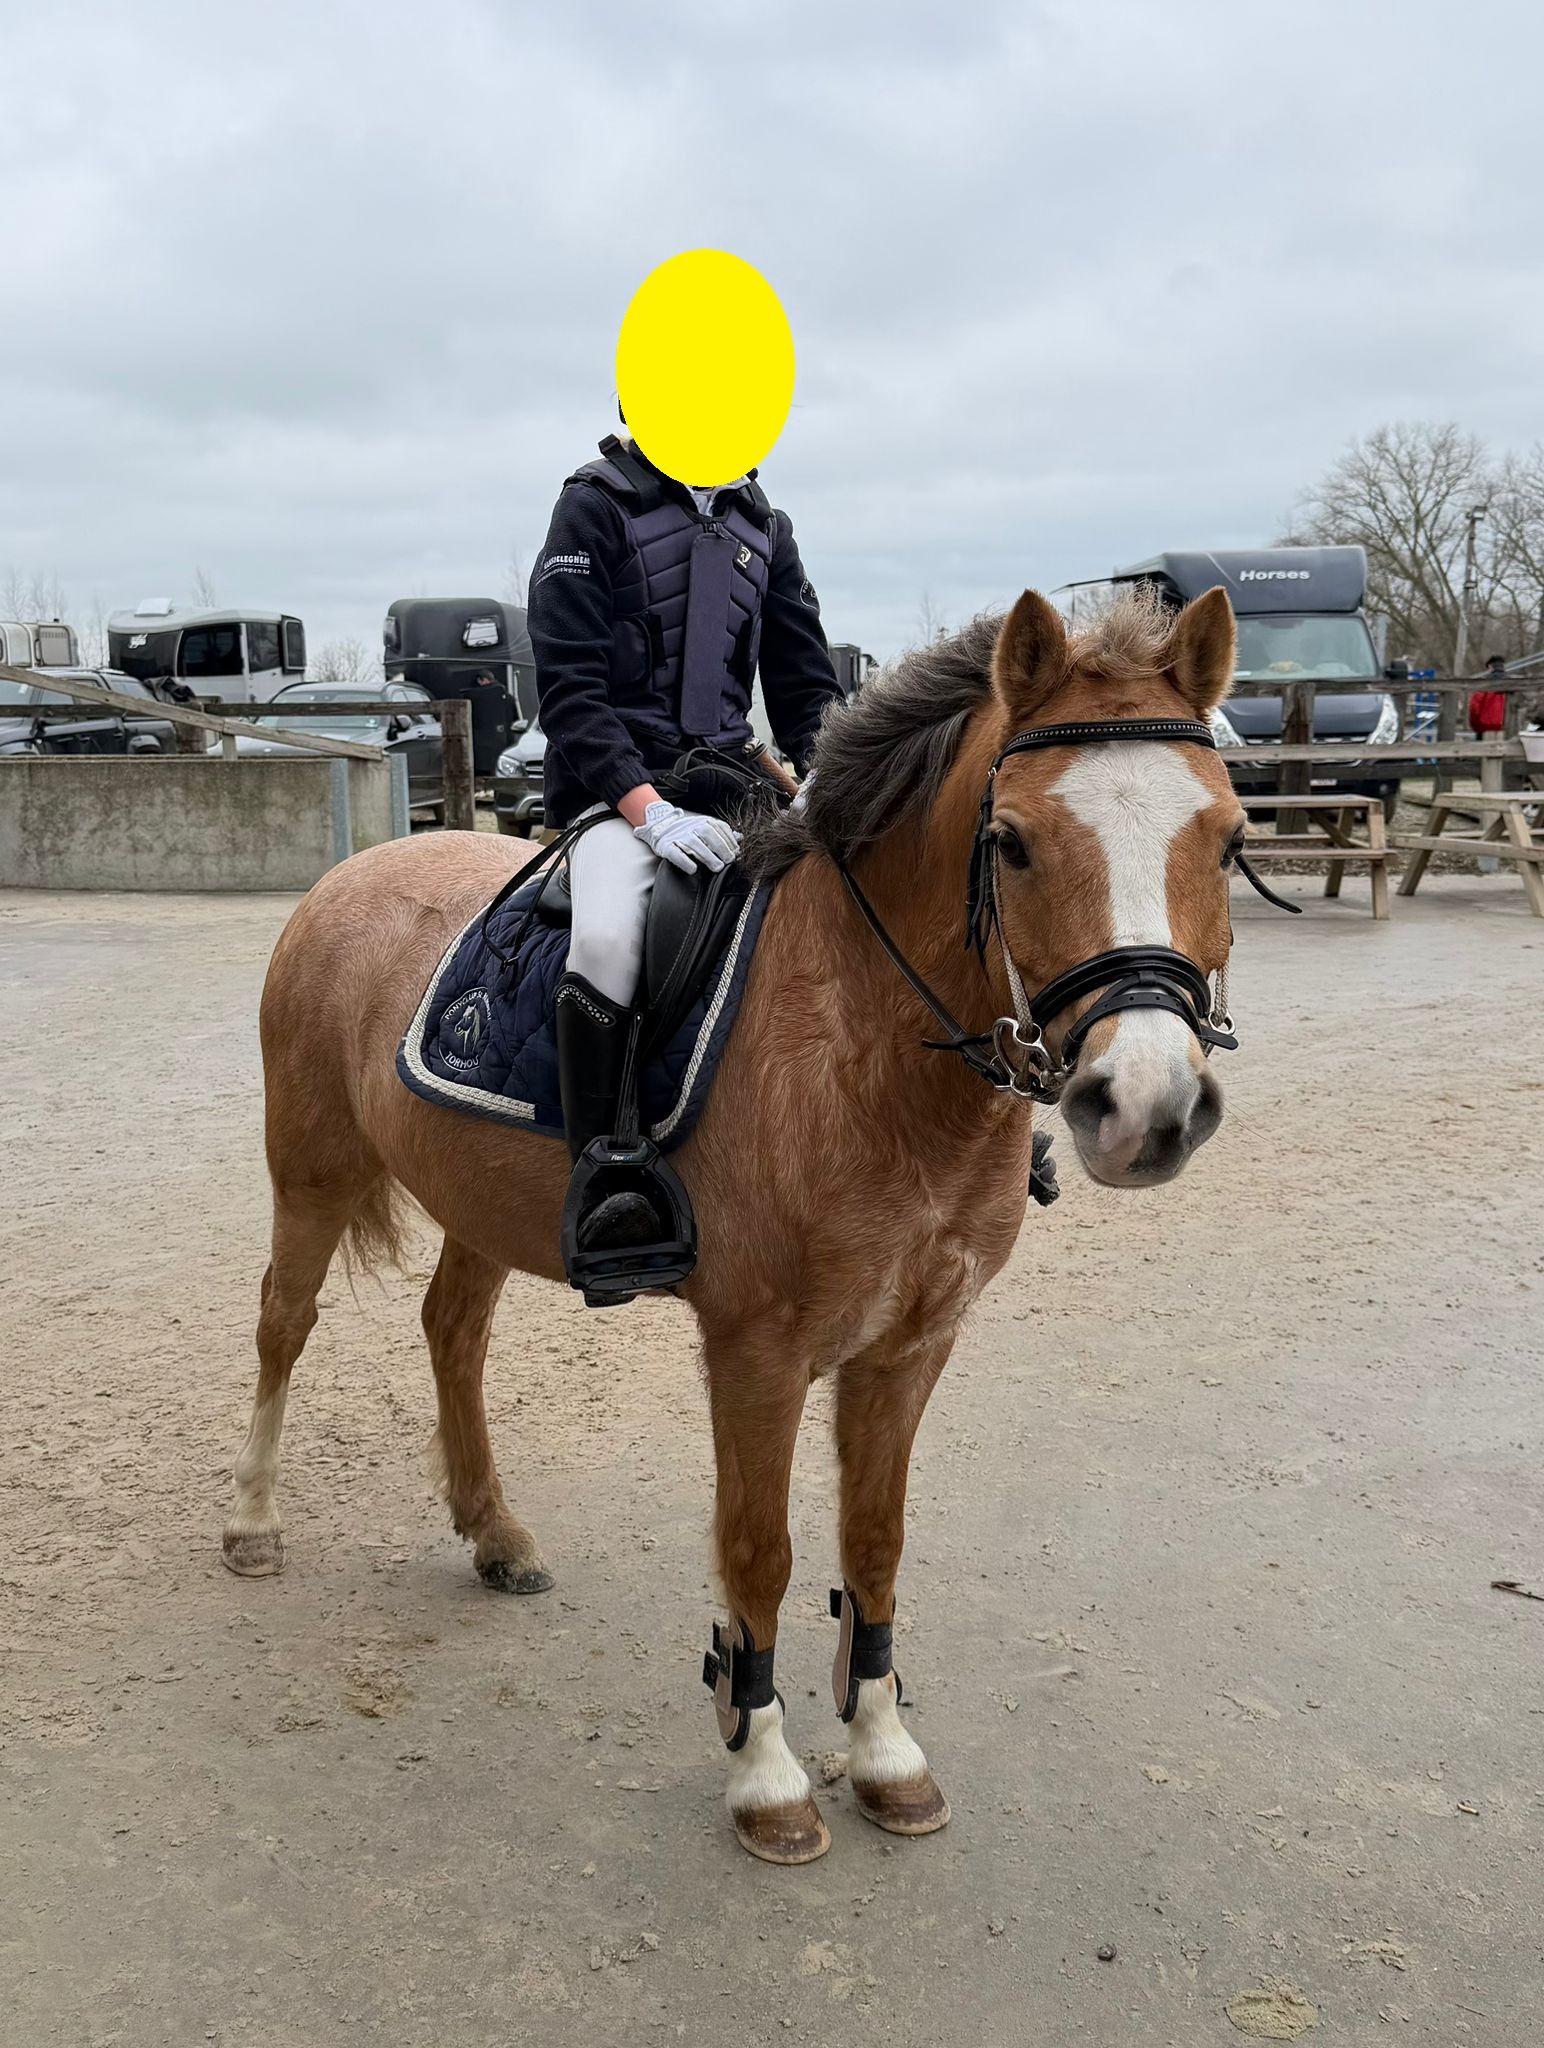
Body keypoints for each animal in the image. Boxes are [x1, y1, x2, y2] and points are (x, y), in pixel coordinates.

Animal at [223, 584, 1249, 1864]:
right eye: (1010, 839)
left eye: (1229, 838)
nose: (1145, 1103)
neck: (865, 1039)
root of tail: (358, 869)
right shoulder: (758, 1348)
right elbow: (760, 1549)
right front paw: (763, 1770)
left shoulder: (908, 1345)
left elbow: (874, 1540)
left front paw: (885, 1751)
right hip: (309, 1170)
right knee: (283, 1322)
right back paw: (253, 1519)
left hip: (479, 1203)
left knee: (451, 1329)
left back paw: (494, 1532)